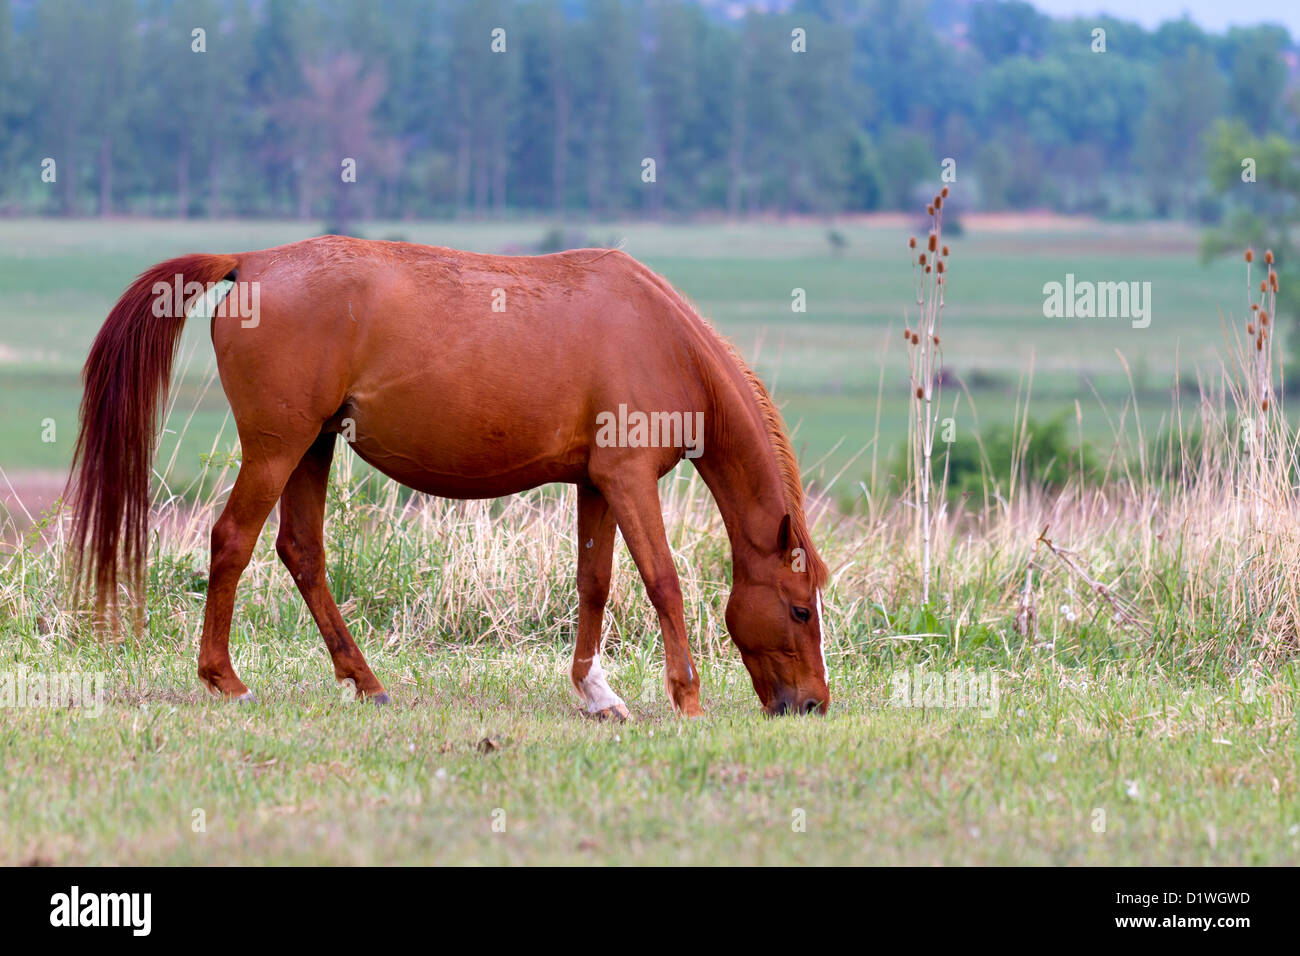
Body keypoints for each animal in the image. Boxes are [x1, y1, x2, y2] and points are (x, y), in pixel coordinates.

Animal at [65, 238, 832, 717]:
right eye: (799, 609)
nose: (813, 705)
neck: (663, 340)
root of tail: (251, 263)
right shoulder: (630, 479)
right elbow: (662, 582)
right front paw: (686, 696)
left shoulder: (597, 483)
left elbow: (594, 584)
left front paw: (596, 693)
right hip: (276, 449)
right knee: (231, 541)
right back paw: (225, 680)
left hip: (312, 447)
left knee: (301, 552)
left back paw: (365, 680)